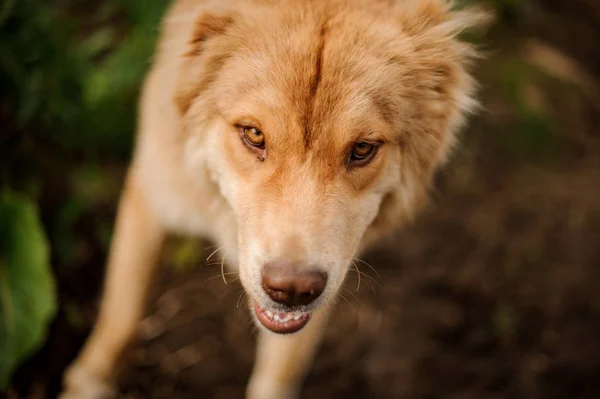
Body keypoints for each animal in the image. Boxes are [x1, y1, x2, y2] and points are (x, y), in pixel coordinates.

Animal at [59, 1, 482, 398]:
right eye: (254, 135)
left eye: (362, 149)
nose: (292, 291)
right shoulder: (153, 192)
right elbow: (122, 311)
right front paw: (89, 382)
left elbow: (281, 370)